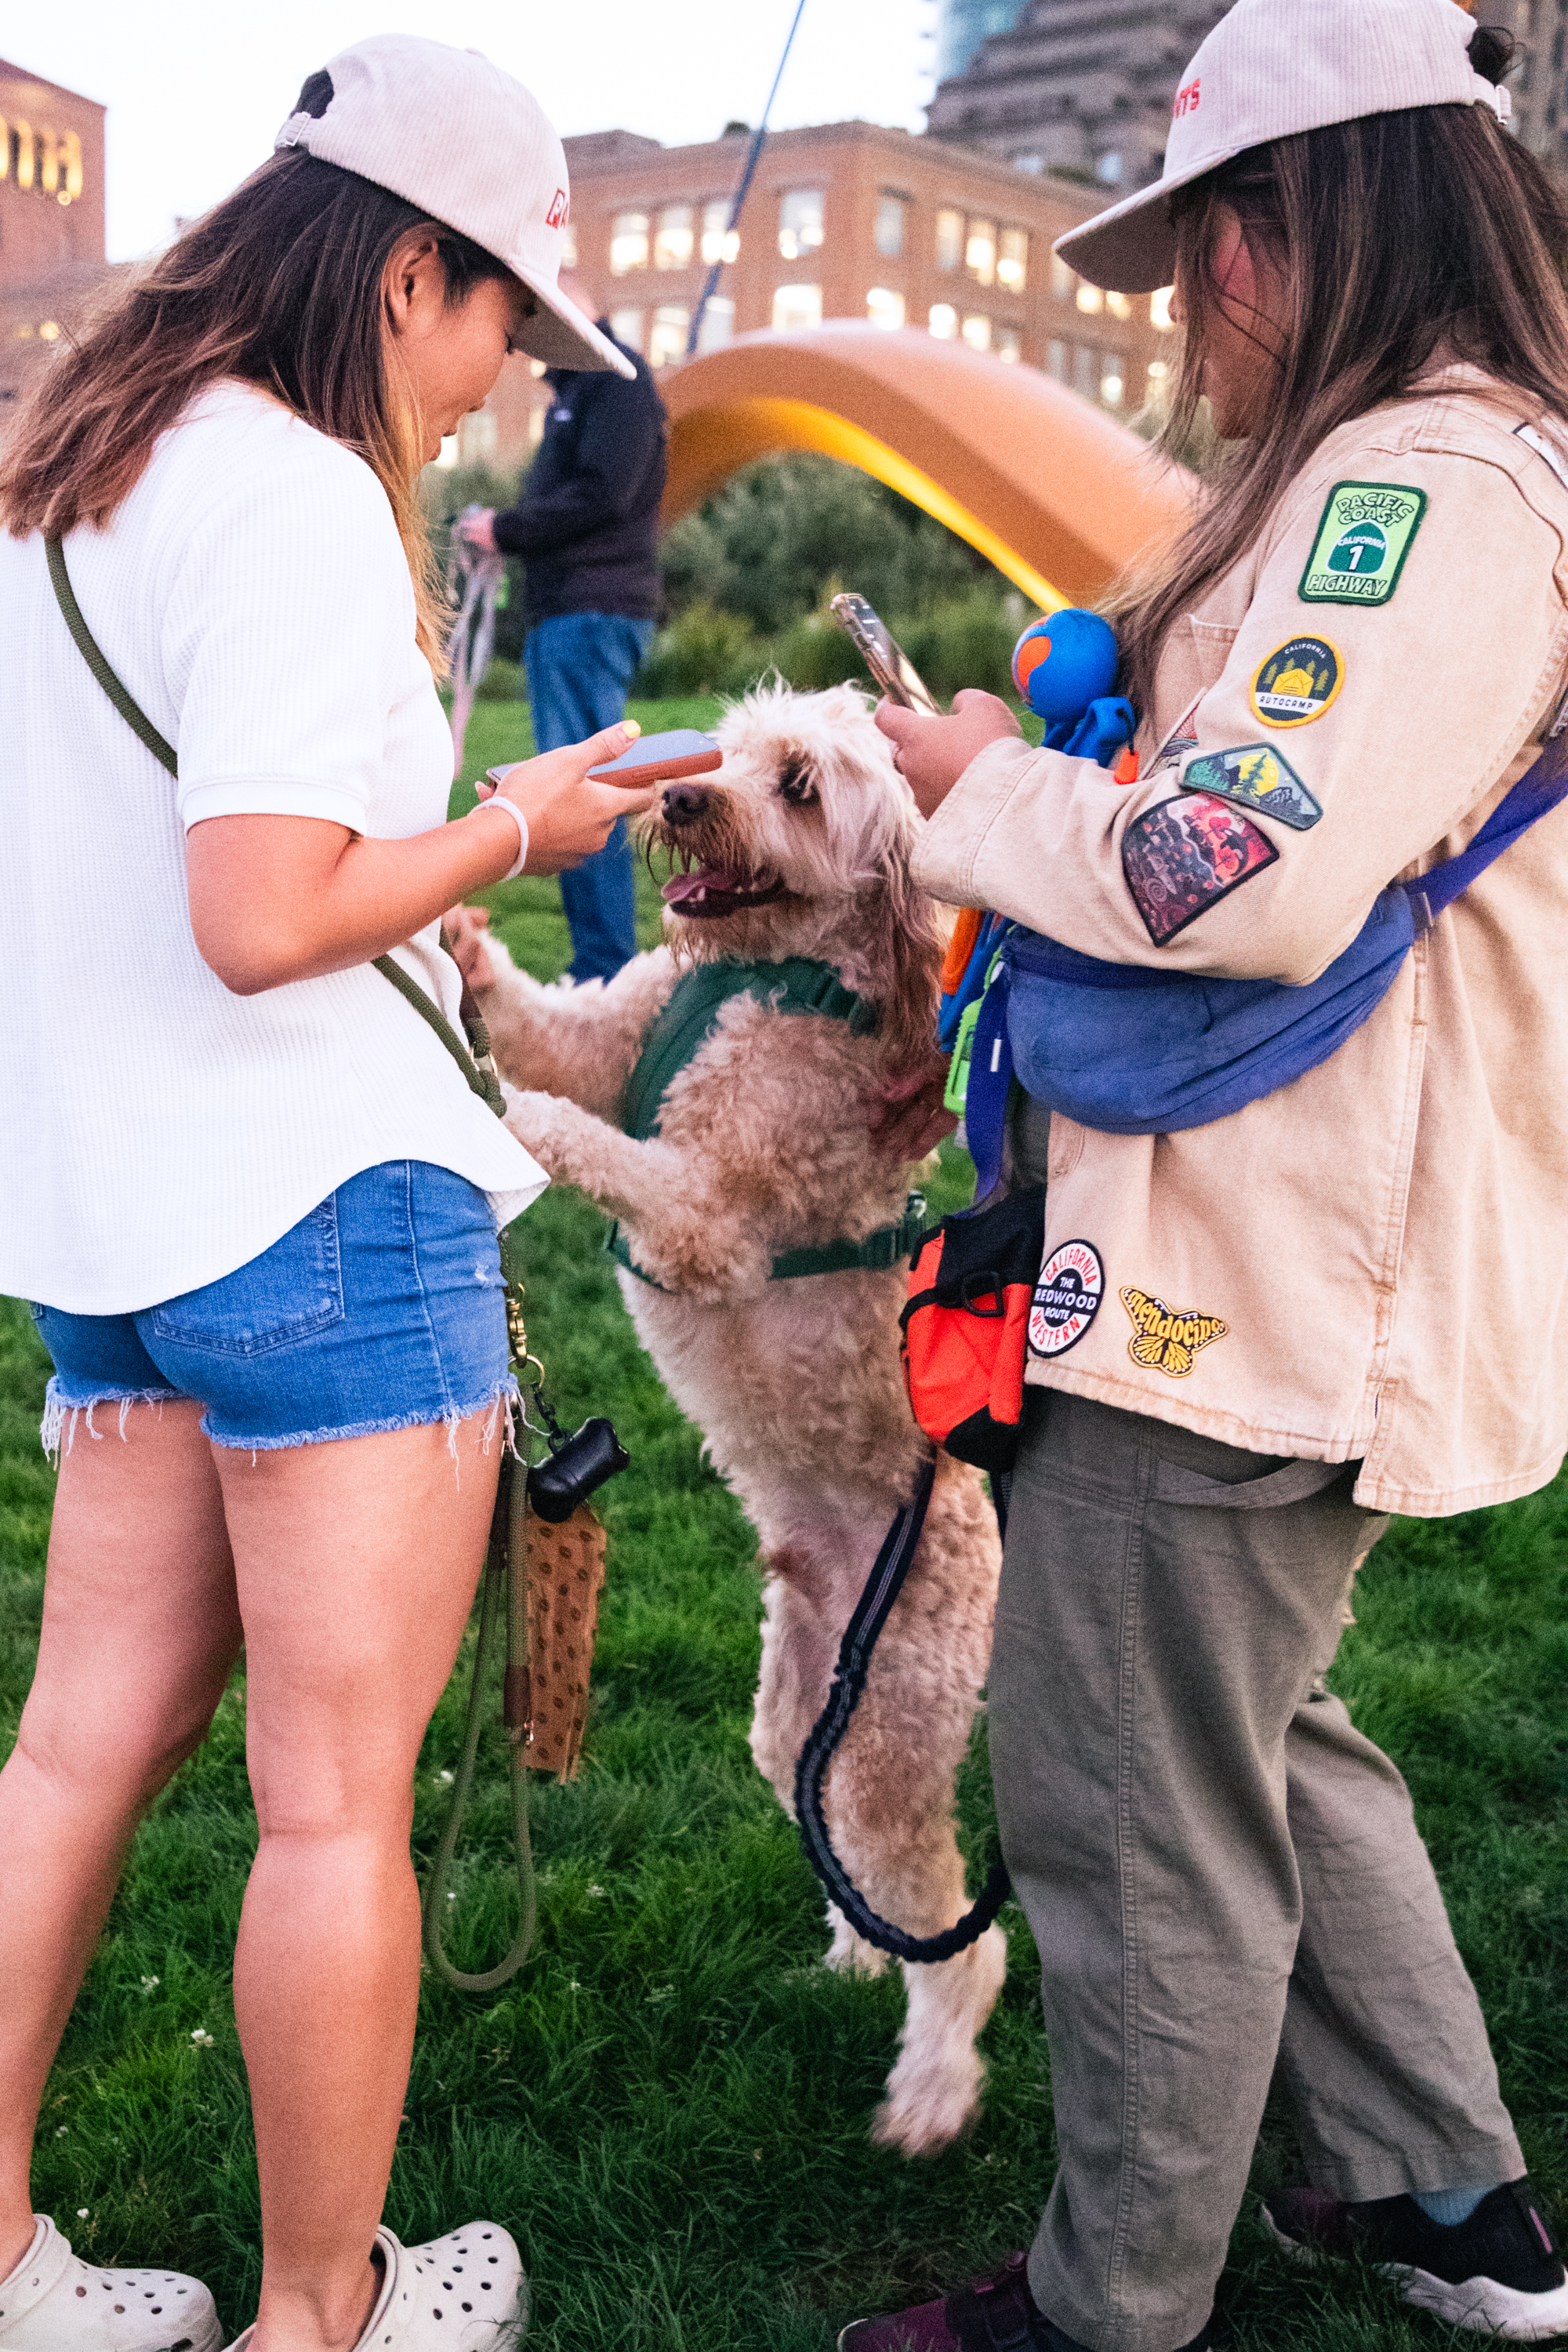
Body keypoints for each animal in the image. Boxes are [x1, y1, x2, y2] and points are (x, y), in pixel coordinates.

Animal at [446, 682, 1011, 2154]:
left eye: (801, 786)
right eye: (730, 750)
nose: (681, 800)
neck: (760, 974)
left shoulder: (709, 1219)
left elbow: (589, 1139)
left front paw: (503, 1113)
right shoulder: (617, 1034)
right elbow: (550, 1033)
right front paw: (461, 942)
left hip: (897, 1737)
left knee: (963, 1936)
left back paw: (932, 2090)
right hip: (797, 1707)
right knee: (853, 1858)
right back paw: (854, 1954)